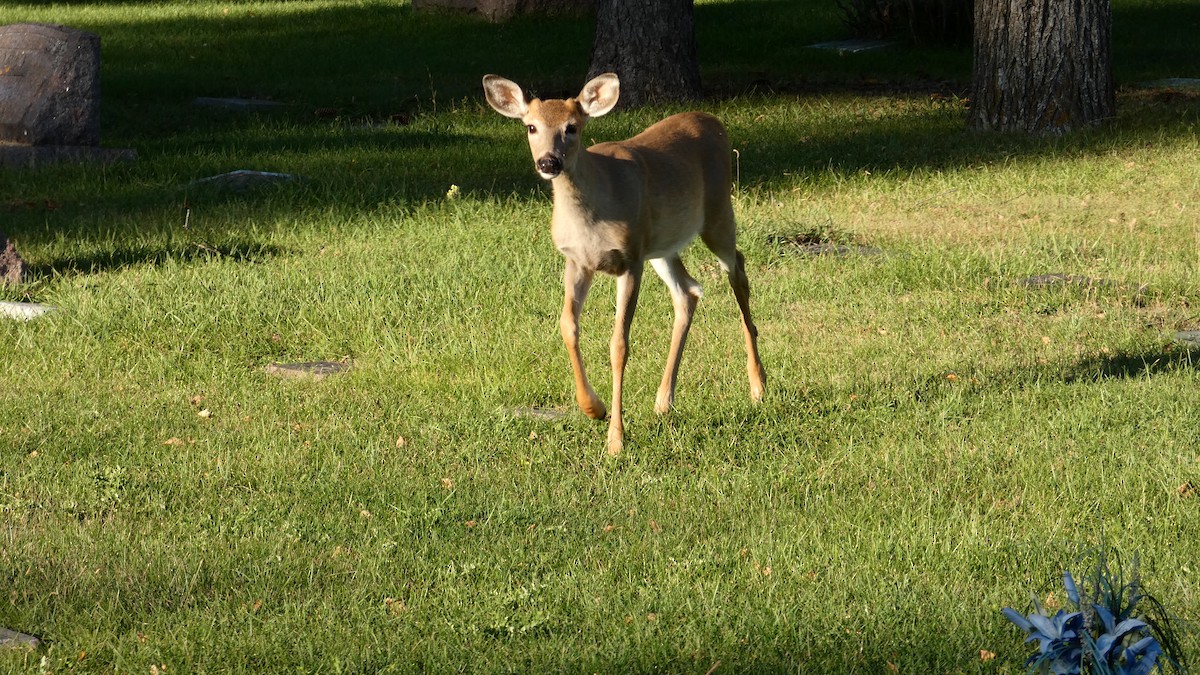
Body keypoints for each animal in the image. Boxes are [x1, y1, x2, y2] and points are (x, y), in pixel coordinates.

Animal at [482, 72, 766, 456]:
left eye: (572, 127)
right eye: (531, 126)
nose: (549, 163)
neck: (592, 217)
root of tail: (712, 119)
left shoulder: (630, 260)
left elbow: (619, 344)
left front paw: (615, 438)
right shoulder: (577, 261)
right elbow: (567, 326)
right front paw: (593, 408)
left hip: (718, 213)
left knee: (738, 271)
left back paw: (758, 385)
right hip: (661, 246)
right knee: (688, 291)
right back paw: (664, 401)